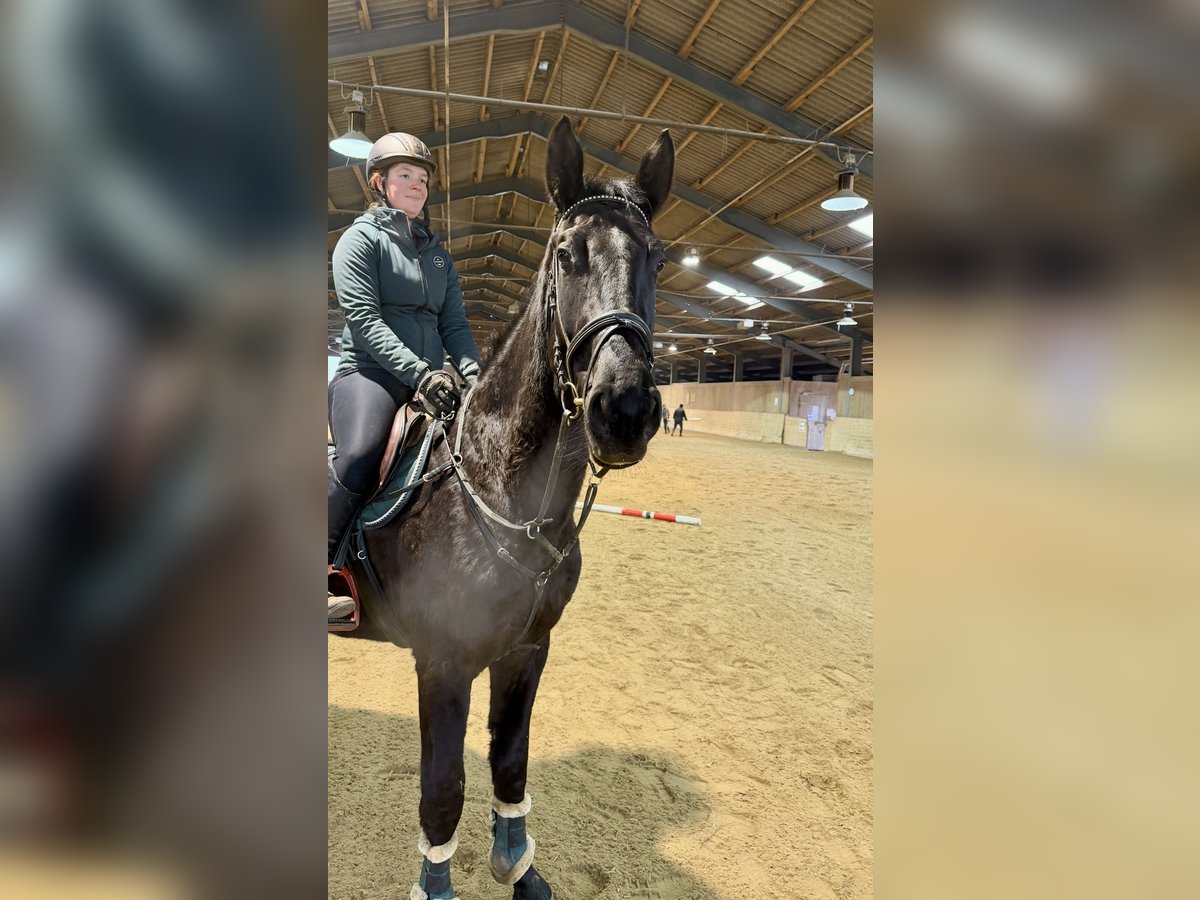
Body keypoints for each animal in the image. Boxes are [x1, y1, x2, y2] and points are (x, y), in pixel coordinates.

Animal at [333, 116, 674, 900]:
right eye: (566, 255)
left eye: (656, 256)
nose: (624, 409)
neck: (497, 487)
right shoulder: (444, 662)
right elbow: (442, 789)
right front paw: (435, 887)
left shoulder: (527, 649)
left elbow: (509, 763)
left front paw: (519, 868)